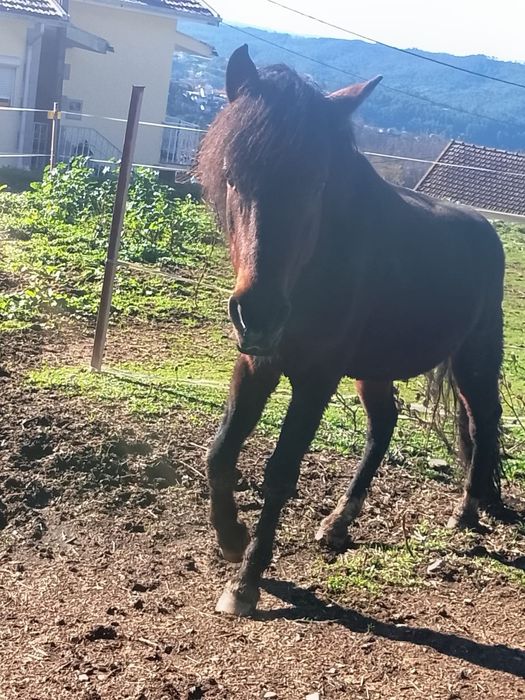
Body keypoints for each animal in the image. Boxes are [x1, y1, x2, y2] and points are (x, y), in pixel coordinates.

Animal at [197, 45, 505, 617]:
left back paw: (467, 511)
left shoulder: (316, 378)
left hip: (475, 355)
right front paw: (231, 539)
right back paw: (340, 521)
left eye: (317, 183)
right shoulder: (257, 362)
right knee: (385, 423)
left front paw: (246, 581)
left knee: (483, 422)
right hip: (375, 367)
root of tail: (484, 227)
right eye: (231, 174)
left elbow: (281, 472)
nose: (259, 313)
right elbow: (220, 453)